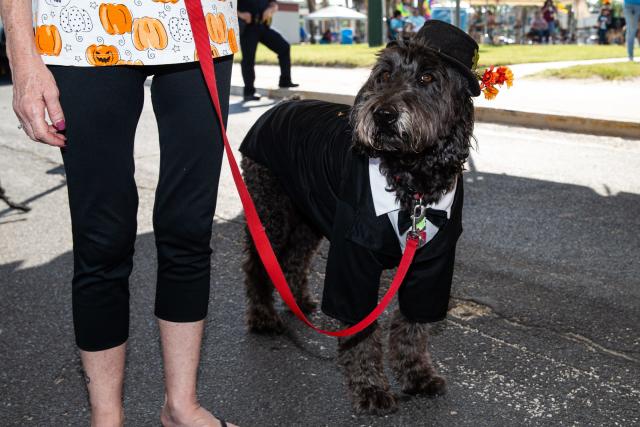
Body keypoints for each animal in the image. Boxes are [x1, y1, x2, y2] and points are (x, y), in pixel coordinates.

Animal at [238, 19, 478, 414]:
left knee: (294, 258)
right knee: (259, 263)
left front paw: (416, 374)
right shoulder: (353, 259)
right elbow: (360, 330)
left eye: (428, 77)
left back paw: (299, 302)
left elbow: (412, 325)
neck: (410, 179)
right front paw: (370, 388)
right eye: (384, 75)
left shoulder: (432, 264)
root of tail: (283, 104)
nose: (384, 114)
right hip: (270, 211)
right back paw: (262, 316)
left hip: (308, 218)